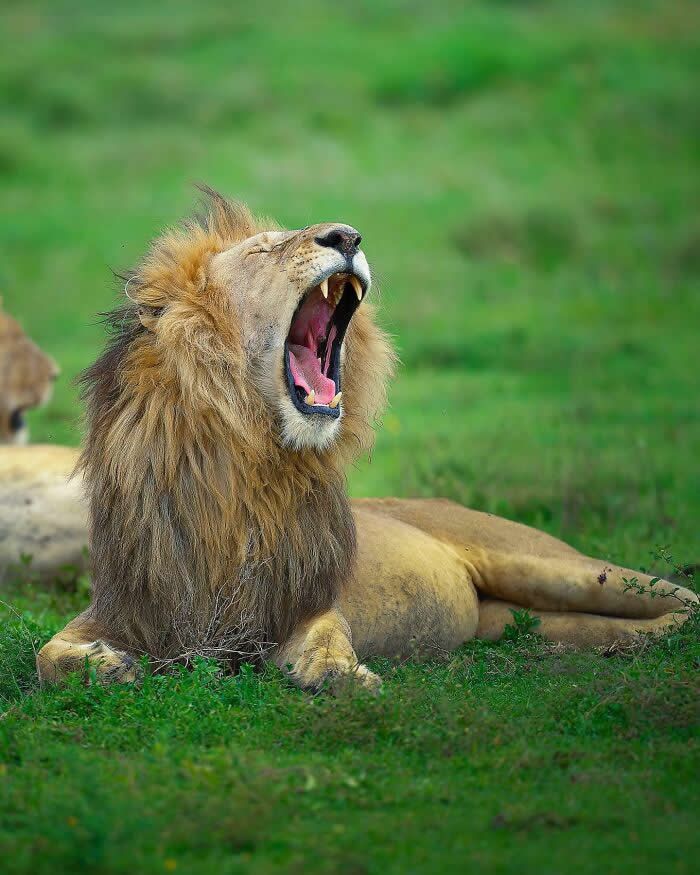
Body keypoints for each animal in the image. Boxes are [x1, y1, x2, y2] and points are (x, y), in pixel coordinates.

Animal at [36, 189, 698, 689]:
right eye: (263, 249)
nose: (348, 237)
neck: (245, 460)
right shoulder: (125, 604)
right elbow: (49, 656)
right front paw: (110, 668)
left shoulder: (307, 599)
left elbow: (328, 642)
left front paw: (341, 674)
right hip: (521, 613)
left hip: (546, 563)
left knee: (683, 599)